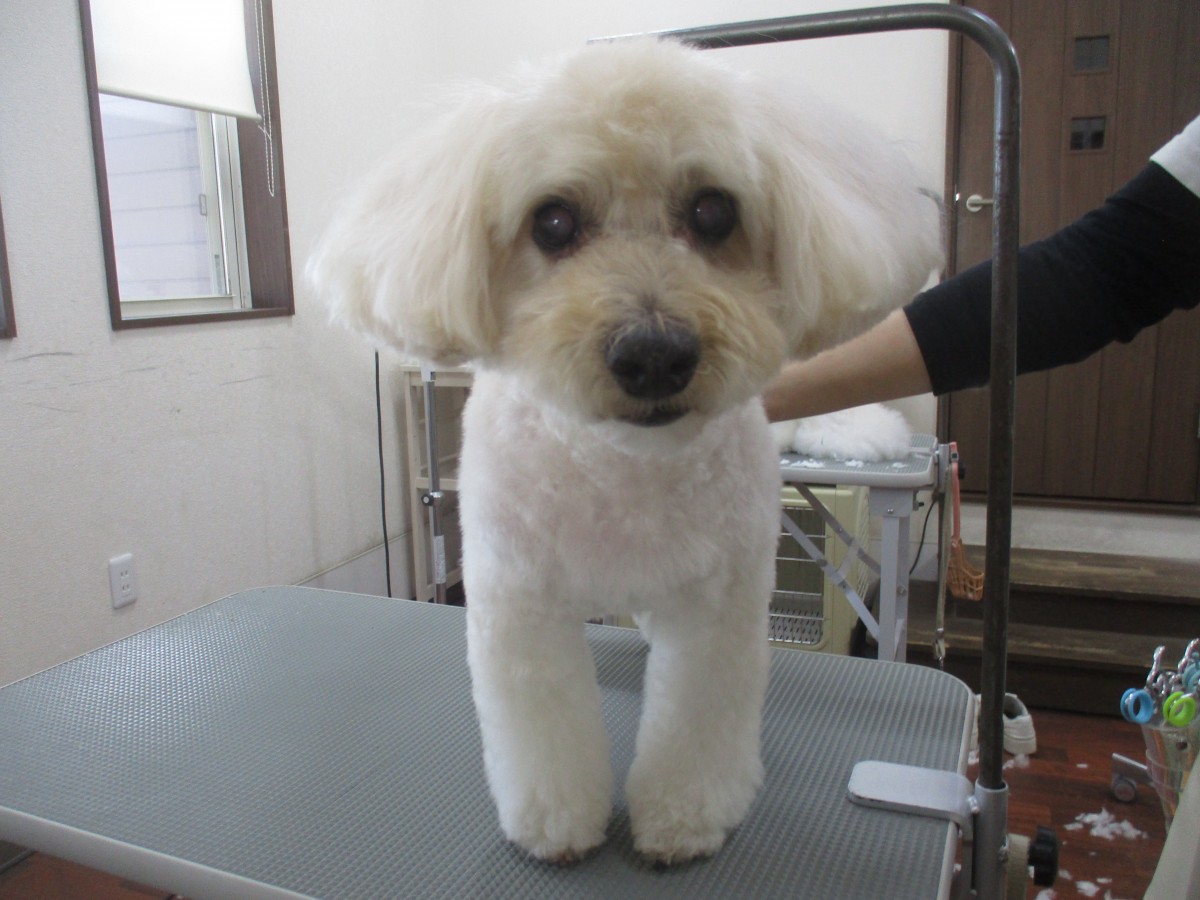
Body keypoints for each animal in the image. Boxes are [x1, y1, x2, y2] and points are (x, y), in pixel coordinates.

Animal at [310, 38, 942, 865]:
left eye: (714, 210)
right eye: (552, 221)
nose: (654, 354)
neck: (623, 467)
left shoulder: (717, 607)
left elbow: (696, 723)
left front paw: (683, 819)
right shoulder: (520, 603)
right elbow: (544, 729)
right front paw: (555, 823)